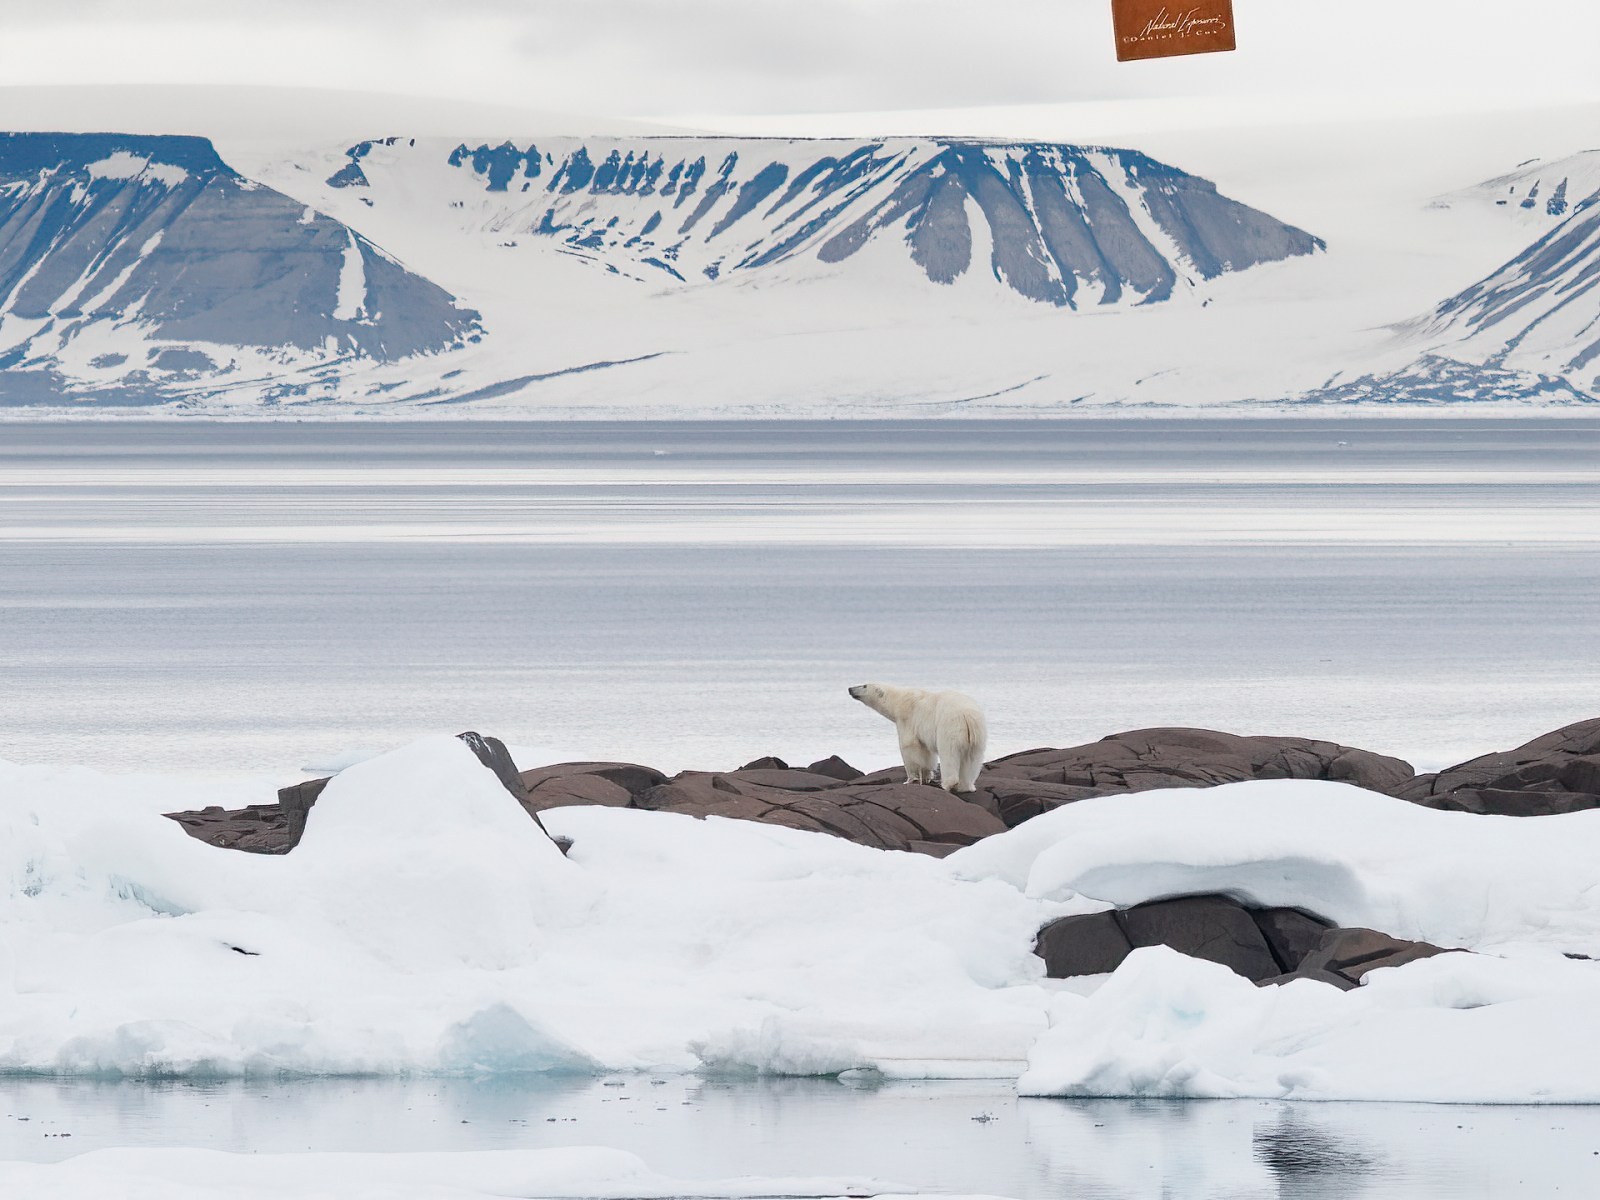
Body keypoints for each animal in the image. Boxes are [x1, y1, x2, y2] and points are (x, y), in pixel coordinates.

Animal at [847, 682, 987, 793]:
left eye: (864, 685)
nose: (850, 689)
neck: (898, 700)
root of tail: (967, 716)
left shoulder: (907, 719)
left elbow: (909, 747)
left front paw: (910, 779)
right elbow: (926, 752)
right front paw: (926, 776)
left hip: (950, 728)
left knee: (949, 754)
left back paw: (948, 784)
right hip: (978, 735)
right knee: (972, 760)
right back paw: (966, 786)